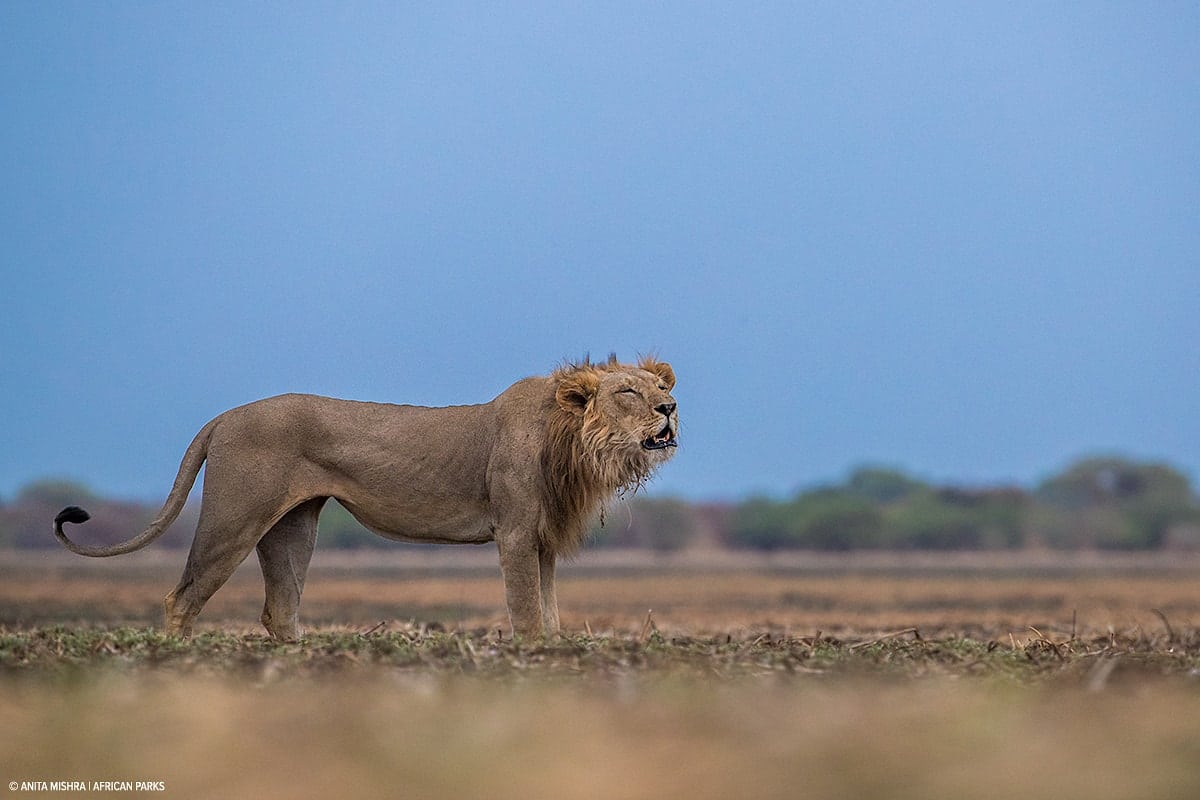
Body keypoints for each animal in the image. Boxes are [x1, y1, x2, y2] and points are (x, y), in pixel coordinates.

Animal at [54, 355, 676, 638]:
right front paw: (532, 658)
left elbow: (549, 611)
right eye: (628, 391)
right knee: (181, 597)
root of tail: (224, 417)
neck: (573, 442)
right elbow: (526, 610)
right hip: (235, 517)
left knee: (280, 607)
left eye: (661, 388)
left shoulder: (543, 540)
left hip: (292, 527)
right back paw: (175, 664)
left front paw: (554, 649)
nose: (670, 408)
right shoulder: (518, 532)